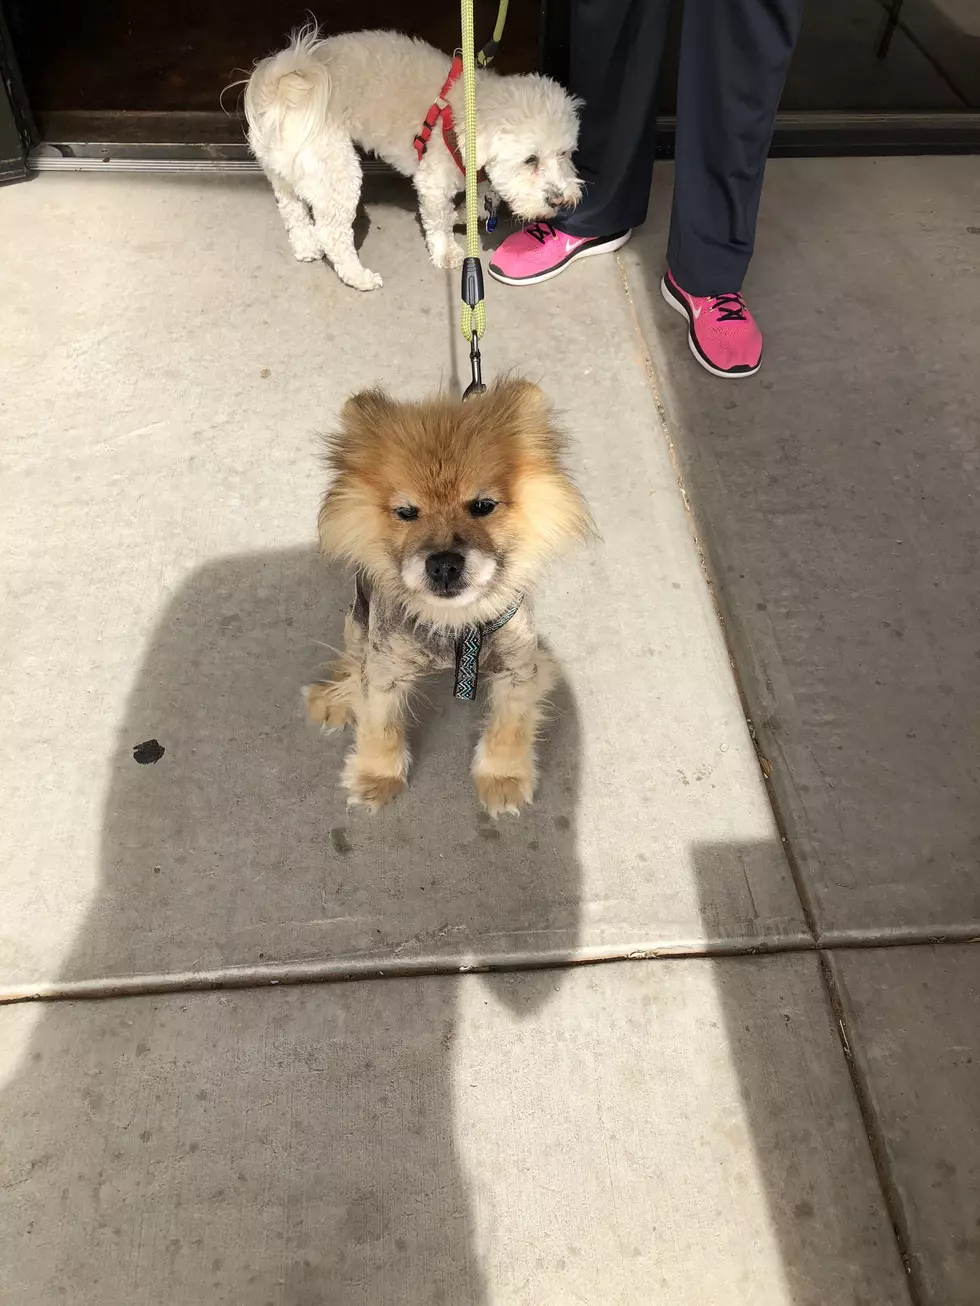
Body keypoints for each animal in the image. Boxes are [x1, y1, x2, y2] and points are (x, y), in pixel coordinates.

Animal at [245, 25, 582, 292]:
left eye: (564, 153)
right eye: (530, 159)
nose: (559, 200)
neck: (467, 114)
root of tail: (280, 87)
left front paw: (464, 213)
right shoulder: (434, 179)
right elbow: (439, 221)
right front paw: (447, 251)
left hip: (286, 172)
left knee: (294, 212)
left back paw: (305, 247)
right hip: (336, 169)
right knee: (331, 233)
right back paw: (359, 277)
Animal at [305, 373, 590, 809]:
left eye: (483, 505)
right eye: (406, 512)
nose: (443, 563)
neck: (455, 624)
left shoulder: (518, 669)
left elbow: (510, 726)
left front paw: (504, 778)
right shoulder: (384, 670)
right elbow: (380, 726)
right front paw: (376, 776)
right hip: (358, 619)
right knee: (352, 659)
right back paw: (334, 697)